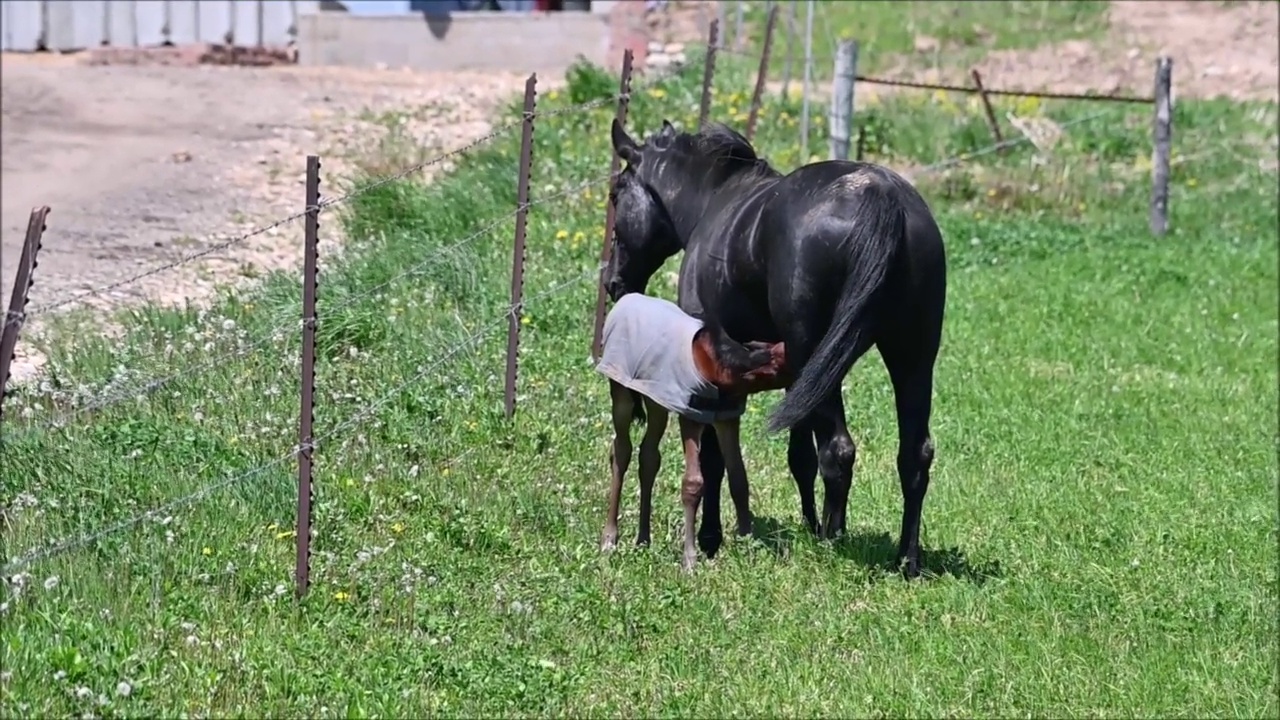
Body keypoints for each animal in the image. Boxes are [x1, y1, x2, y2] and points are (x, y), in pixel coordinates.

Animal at [593, 289, 783, 566]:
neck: (713, 364)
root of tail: (628, 297)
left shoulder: (727, 419)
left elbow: (739, 478)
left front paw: (748, 546)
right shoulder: (690, 418)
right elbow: (693, 483)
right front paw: (690, 559)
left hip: (656, 398)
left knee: (649, 456)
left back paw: (643, 540)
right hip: (621, 392)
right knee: (621, 450)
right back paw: (609, 539)